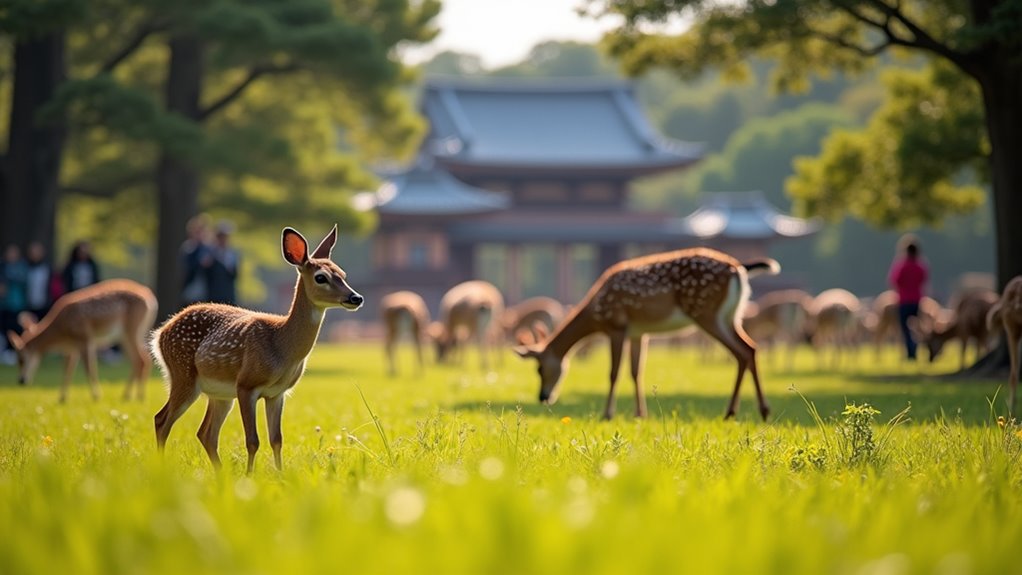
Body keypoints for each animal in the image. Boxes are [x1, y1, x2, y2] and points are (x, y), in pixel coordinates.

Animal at [6, 279, 158, 403]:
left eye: (21, 359)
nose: (21, 381)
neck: (60, 333)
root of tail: (151, 299)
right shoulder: (71, 348)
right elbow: (67, 370)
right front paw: (62, 398)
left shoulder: (84, 338)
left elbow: (89, 368)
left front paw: (96, 396)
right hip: (129, 335)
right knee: (141, 359)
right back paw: (131, 396)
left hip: (131, 329)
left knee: (140, 359)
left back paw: (135, 396)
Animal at [151, 225, 363, 473]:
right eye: (321, 277)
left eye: (343, 274)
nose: (356, 297)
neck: (282, 347)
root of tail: (160, 332)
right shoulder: (246, 385)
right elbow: (252, 440)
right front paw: (249, 475)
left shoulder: (277, 393)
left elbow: (277, 439)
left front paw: (280, 475)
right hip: (183, 374)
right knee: (161, 420)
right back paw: (162, 470)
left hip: (219, 394)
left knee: (205, 433)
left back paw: (220, 473)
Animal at [515, 248, 779, 421]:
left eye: (539, 369)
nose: (543, 397)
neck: (596, 313)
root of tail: (739, 268)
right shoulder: (638, 332)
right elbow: (636, 371)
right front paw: (640, 414)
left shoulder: (617, 327)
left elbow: (613, 373)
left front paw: (607, 414)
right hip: (731, 316)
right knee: (750, 348)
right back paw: (760, 411)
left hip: (706, 312)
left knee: (741, 352)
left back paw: (734, 412)